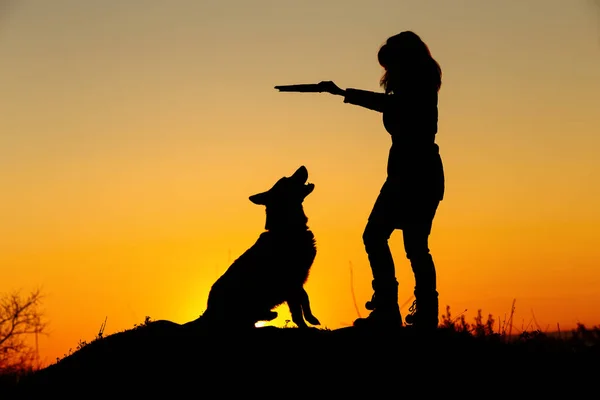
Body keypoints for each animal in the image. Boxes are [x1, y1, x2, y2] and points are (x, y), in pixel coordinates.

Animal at [192, 164, 324, 330]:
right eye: (286, 179)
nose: (303, 166)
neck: (286, 228)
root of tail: (209, 312)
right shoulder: (291, 280)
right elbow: (297, 309)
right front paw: (306, 325)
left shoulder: (298, 280)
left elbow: (304, 299)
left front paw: (311, 318)